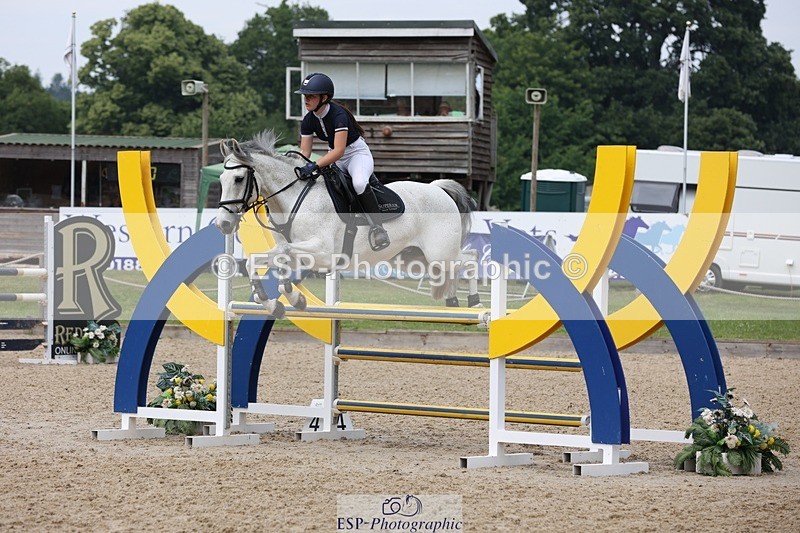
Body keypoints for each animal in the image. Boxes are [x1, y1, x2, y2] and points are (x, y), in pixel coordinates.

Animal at [215, 131, 481, 317]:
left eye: (238, 179)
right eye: (221, 179)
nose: (223, 225)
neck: (294, 197)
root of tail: (439, 189)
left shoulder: (323, 253)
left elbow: (284, 254)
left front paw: (291, 299)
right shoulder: (294, 251)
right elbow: (261, 261)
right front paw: (280, 304)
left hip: (440, 253)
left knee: (470, 258)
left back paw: (473, 300)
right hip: (415, 258)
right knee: (453, 268)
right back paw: (453, 301)